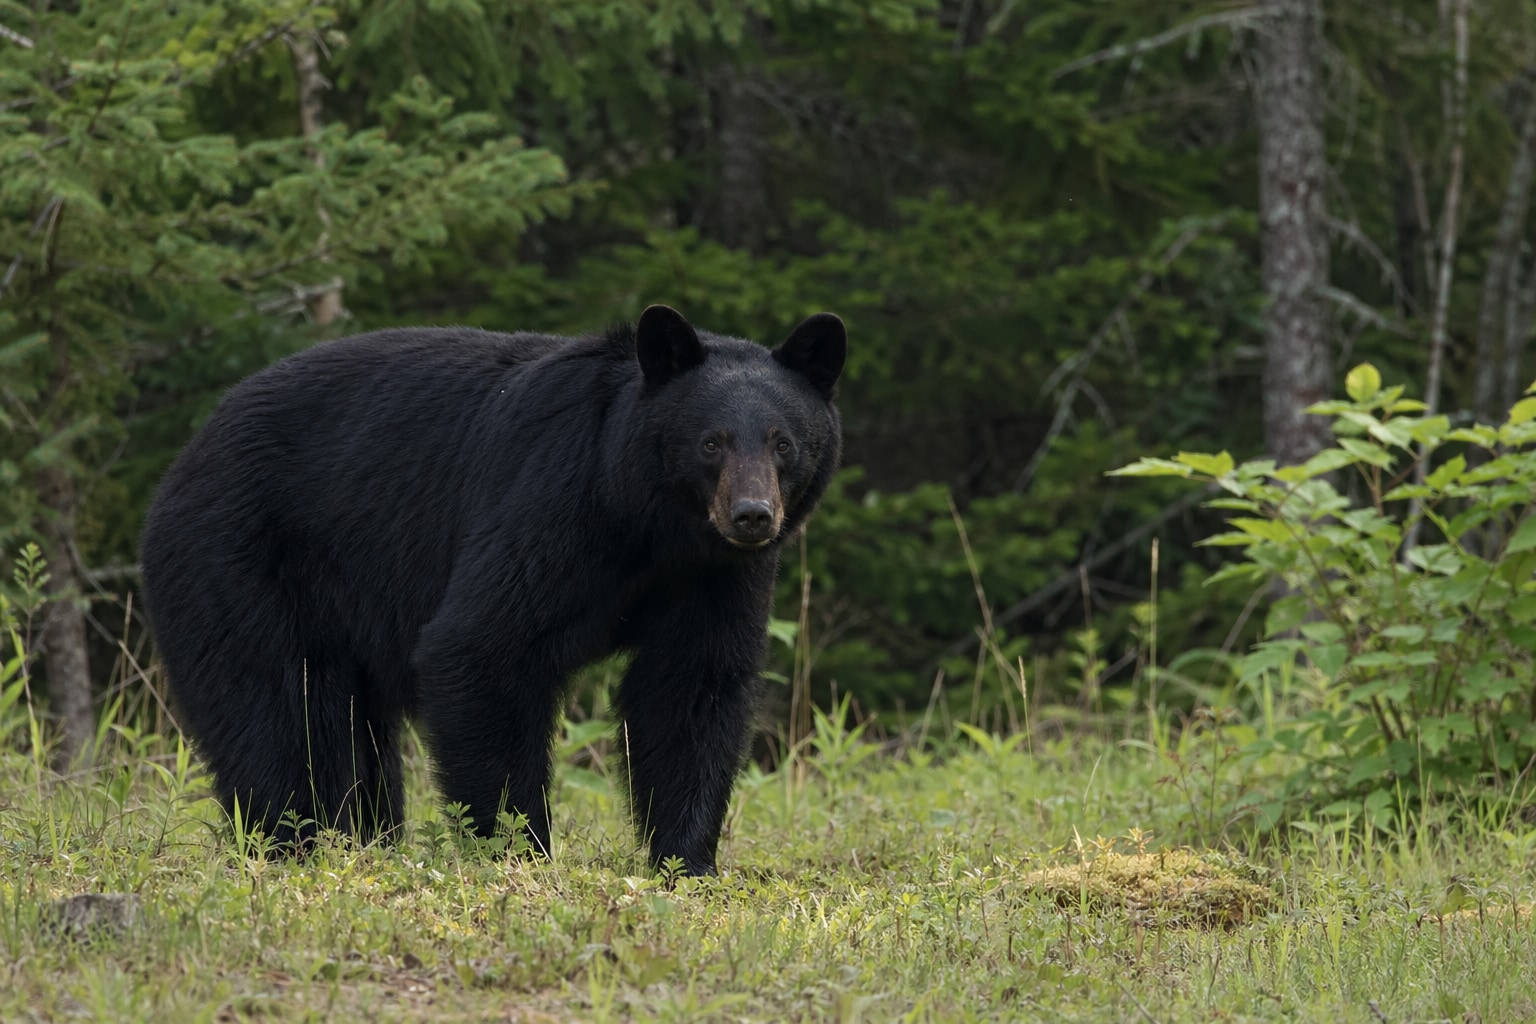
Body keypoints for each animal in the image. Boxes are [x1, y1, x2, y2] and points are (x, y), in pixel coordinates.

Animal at [139, 304, 845, 876]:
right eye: (711, 442)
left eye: (784, 443)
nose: (752, 515)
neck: (651, 523)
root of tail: (185, 456)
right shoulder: (553, 500)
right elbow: (483, 647)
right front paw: (518, 849)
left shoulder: (714, 577)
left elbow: (693, 689)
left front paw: (686, 861)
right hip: (239, 558)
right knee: (279, 707)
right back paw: (293, 841)